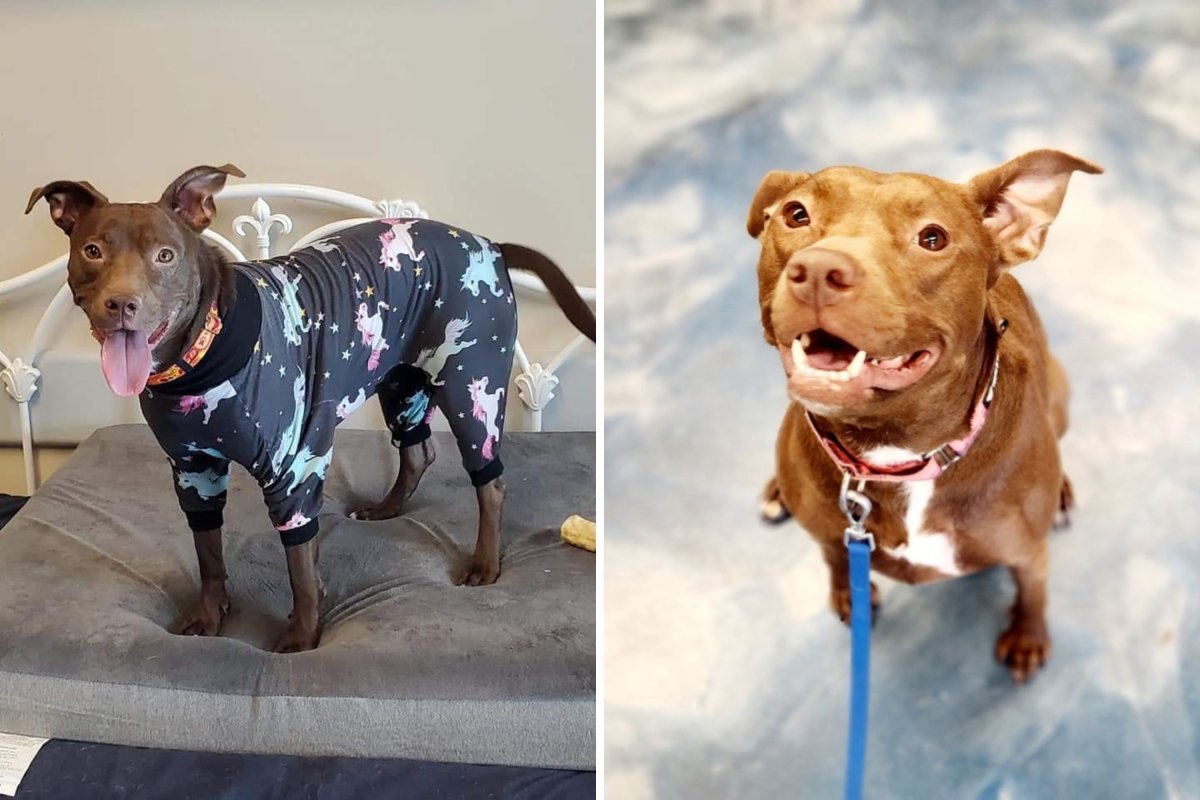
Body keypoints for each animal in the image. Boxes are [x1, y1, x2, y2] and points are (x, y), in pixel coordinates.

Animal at [753, 149, 1099, 681]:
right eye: (796, 214)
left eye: (932, 238)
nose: (817, 270)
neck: (896, 454)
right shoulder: (832, 537)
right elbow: (836, 561)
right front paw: (849, 599)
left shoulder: (1027, 552)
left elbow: (1032, 592)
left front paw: (1027, 639)